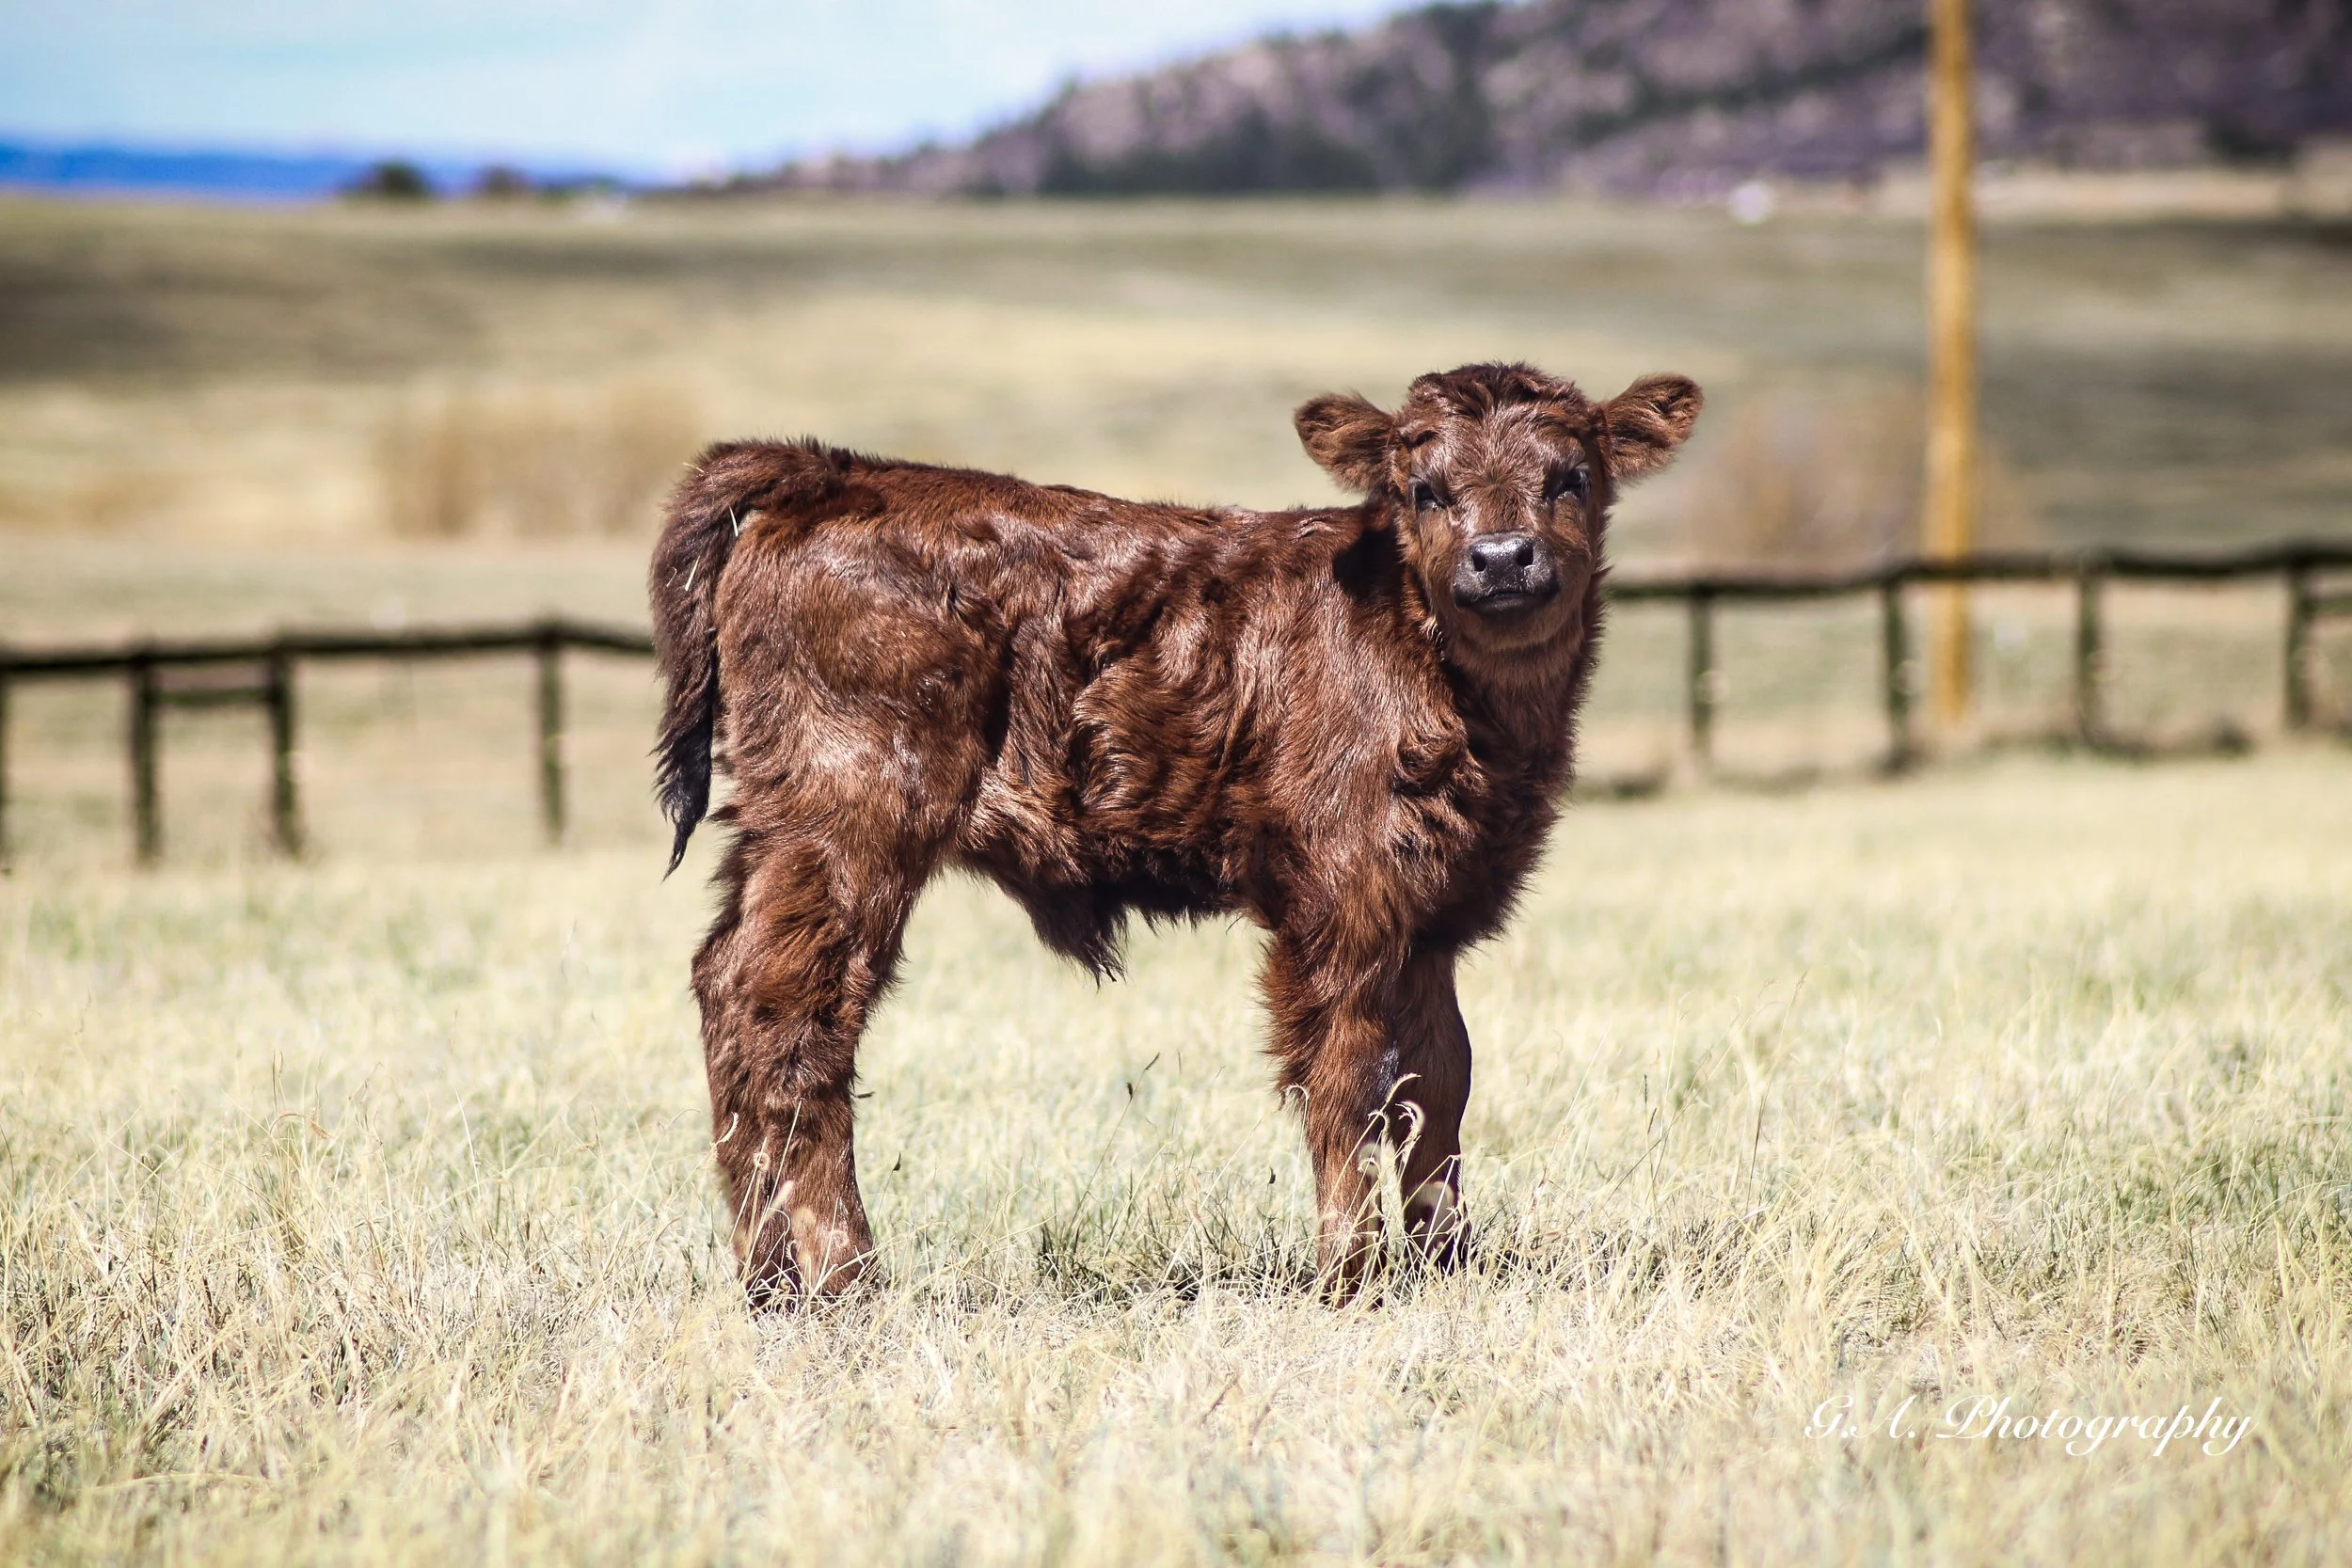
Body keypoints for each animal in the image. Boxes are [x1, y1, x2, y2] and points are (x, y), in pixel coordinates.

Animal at [649, 362, 1701, 1306]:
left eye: (1570, 478)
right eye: (1424, 488)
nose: (1501, 557)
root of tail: (825, 472)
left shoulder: (1433, 911)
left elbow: (1438, 1084)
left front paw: (1450, 1262)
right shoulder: (1342, 903)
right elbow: (1347, 1078)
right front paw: (1352, 1277)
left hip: (777, 837)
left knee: (725, 987)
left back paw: (769, 1279)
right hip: (852, 825)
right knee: (794, 1018)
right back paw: (846, 1279)